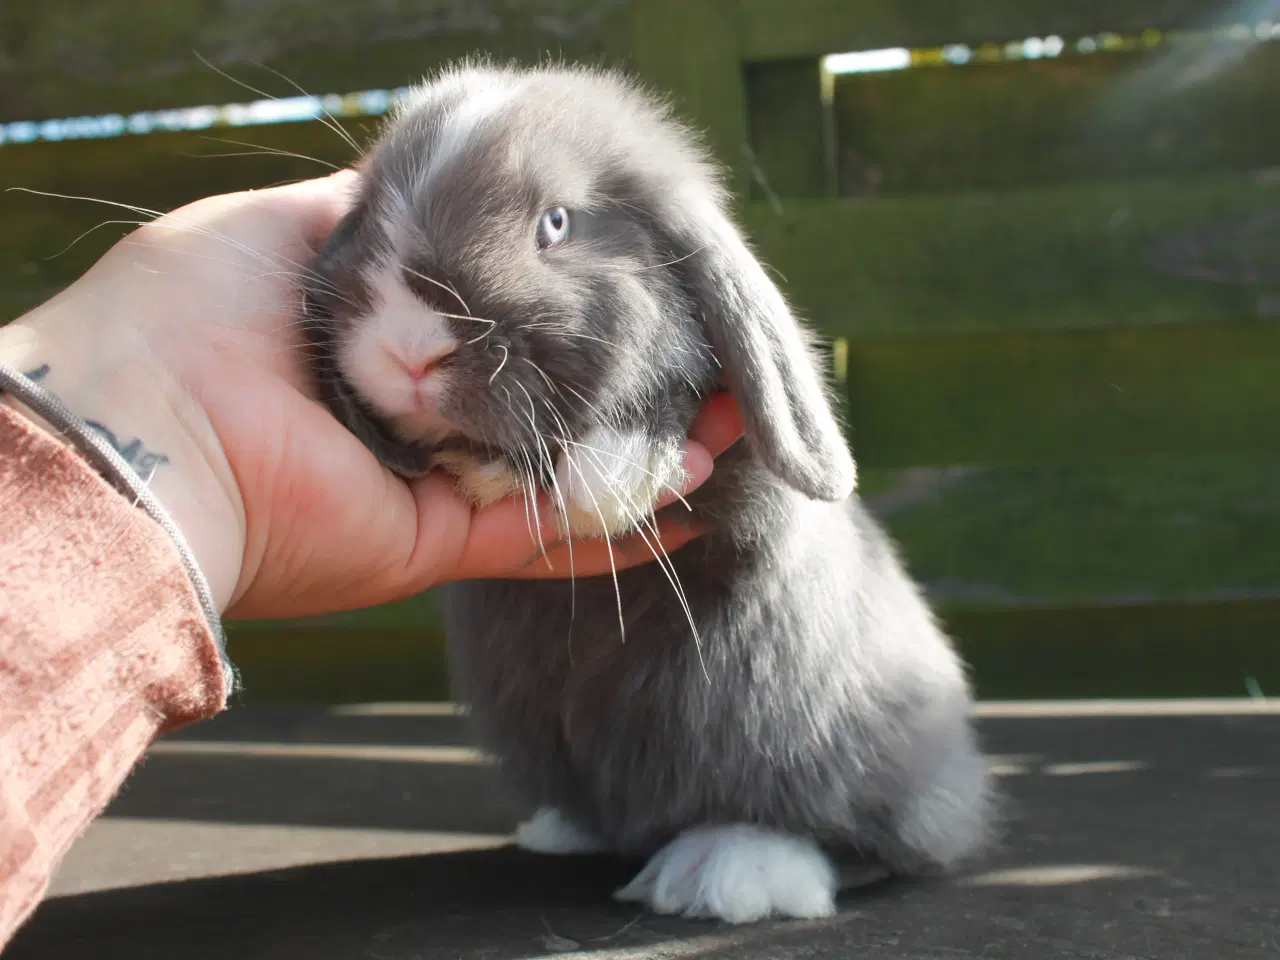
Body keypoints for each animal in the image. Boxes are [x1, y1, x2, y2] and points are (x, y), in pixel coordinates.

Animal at [302, 58, 998, 926]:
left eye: (555, 224)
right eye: (368, 216)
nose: (409, 349)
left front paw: (609, 473)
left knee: (837, 828)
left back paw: (732, 874)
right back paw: (565, 830)